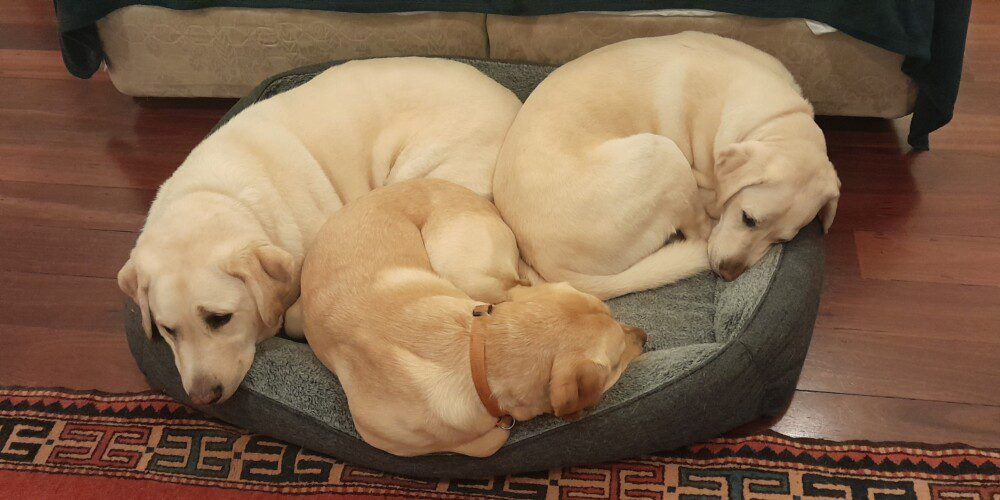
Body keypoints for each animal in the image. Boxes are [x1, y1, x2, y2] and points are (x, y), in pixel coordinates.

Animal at [300, 180, 644, 458]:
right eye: (615, 364)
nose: (644, 336)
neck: (479, 352)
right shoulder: (379, 436)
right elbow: (488, 443)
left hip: (468, 274)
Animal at [496, 32, 840, 296]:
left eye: (781, 241)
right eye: (748, 218)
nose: (727, 274)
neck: (774, 117)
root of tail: (551, 266)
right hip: (664, 154)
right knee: (699, 230)